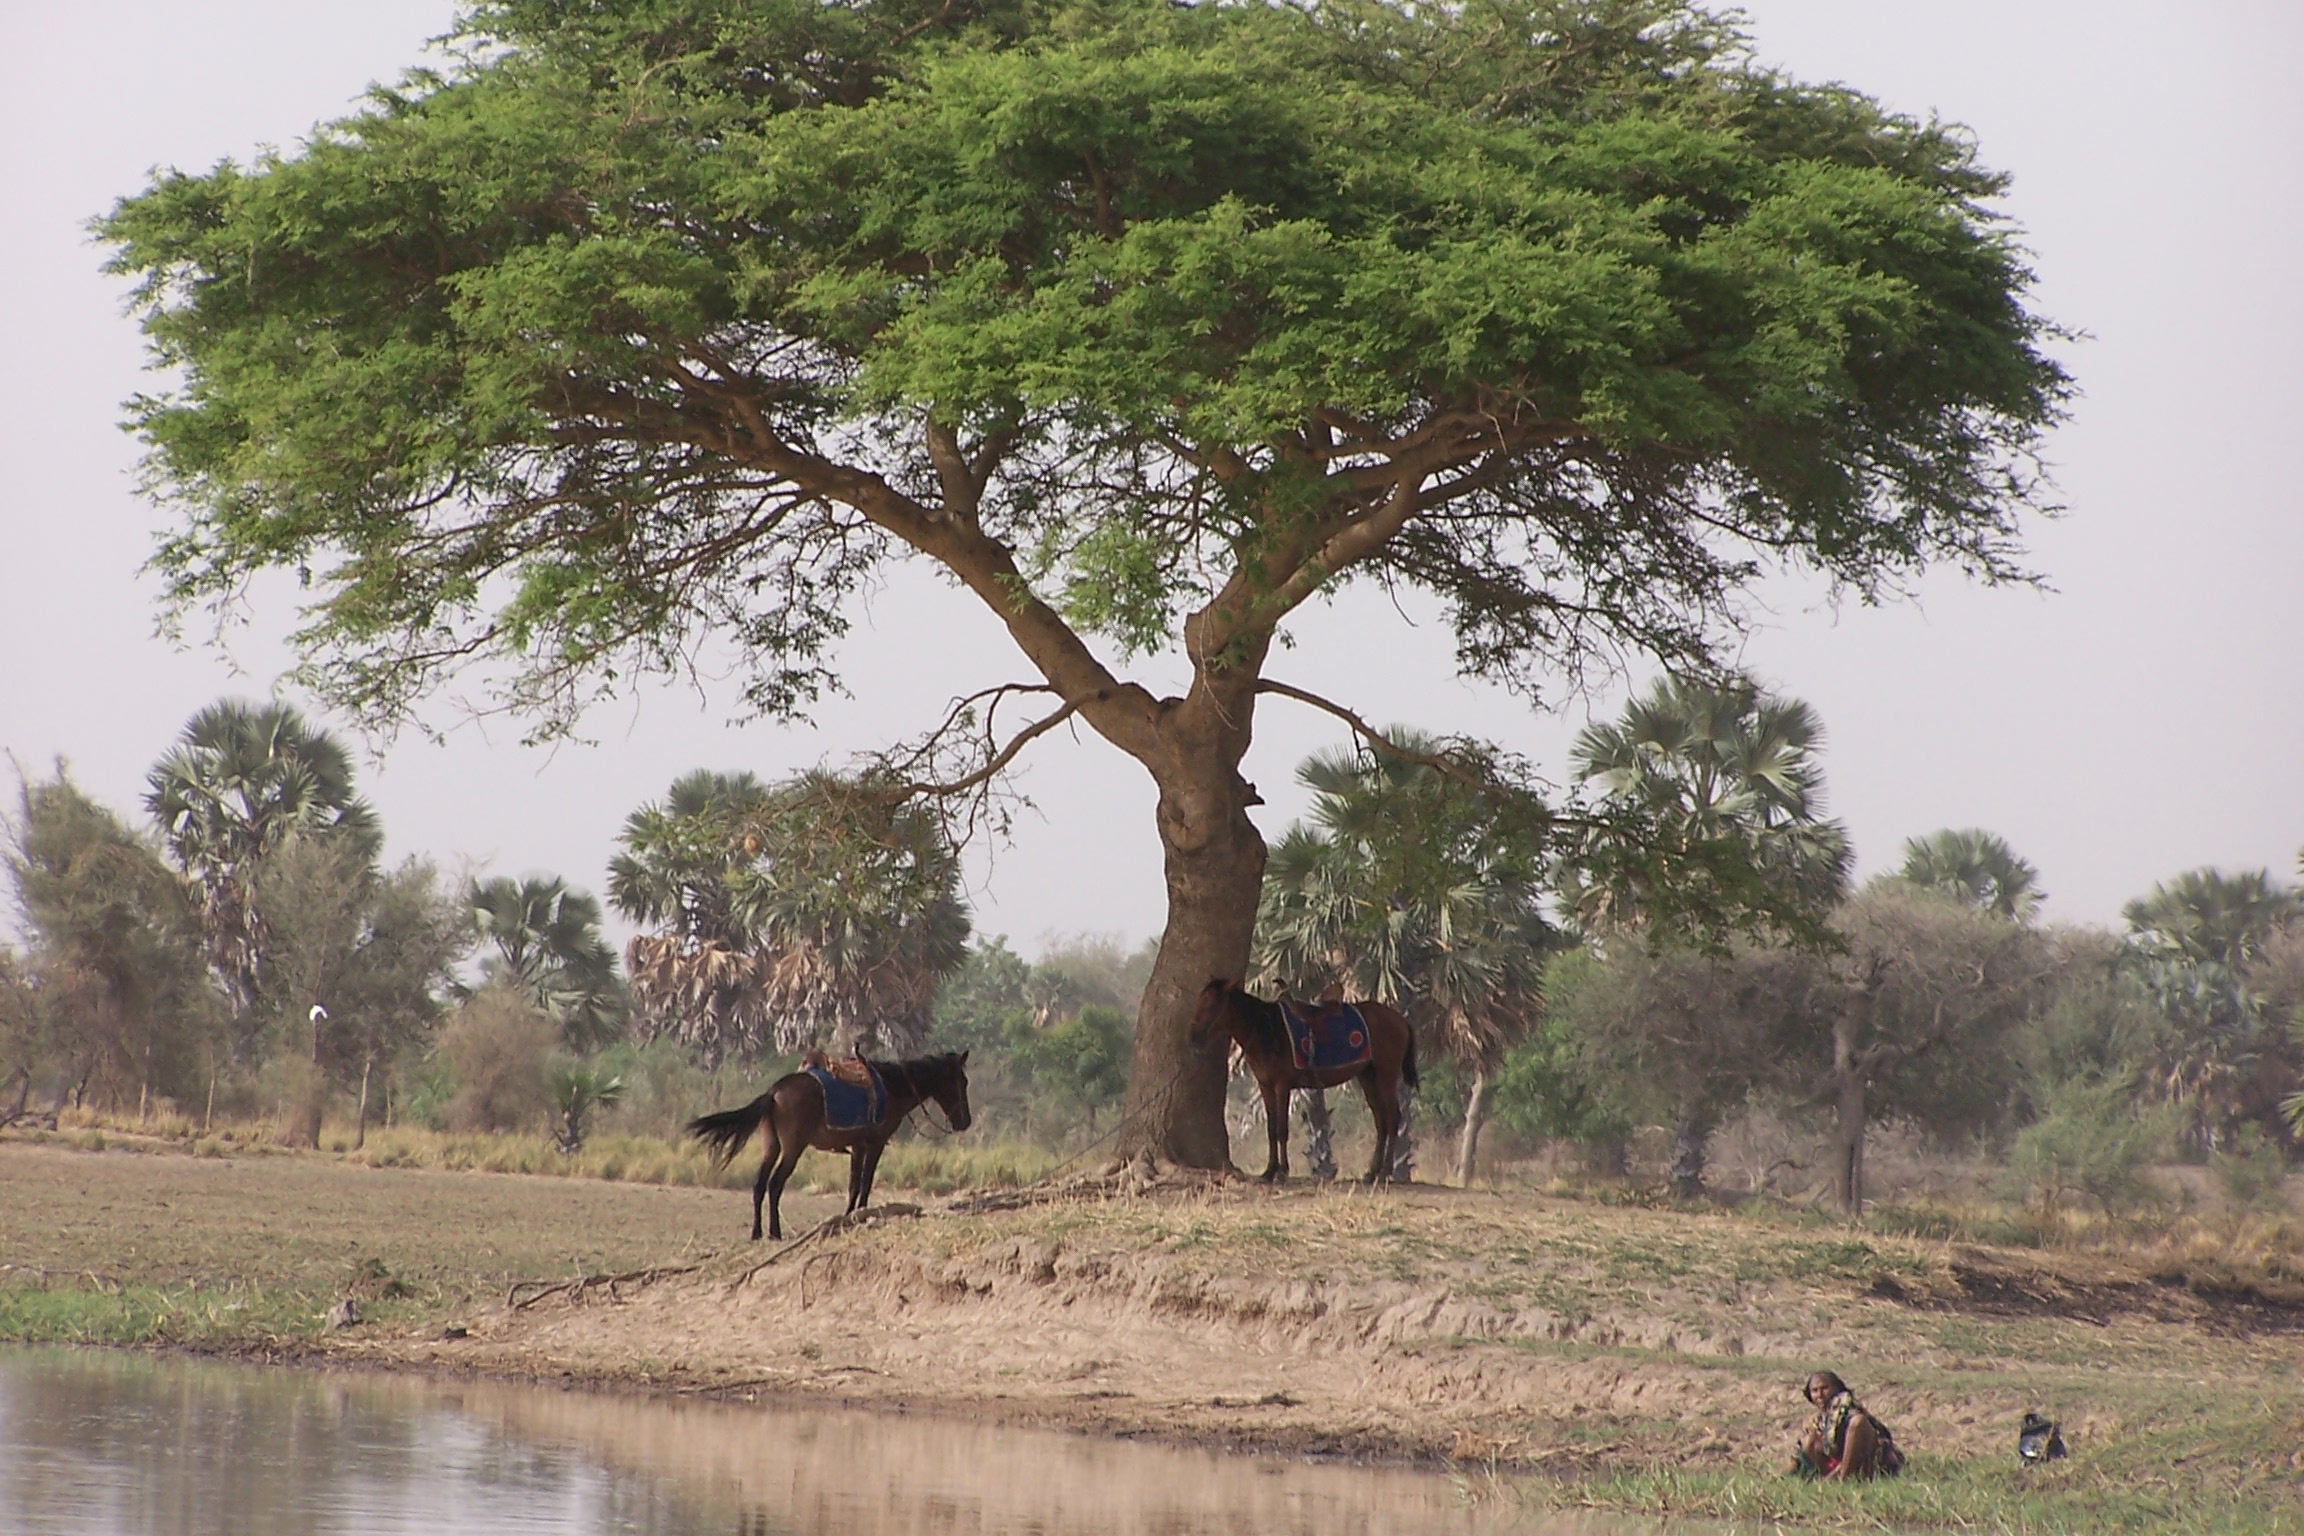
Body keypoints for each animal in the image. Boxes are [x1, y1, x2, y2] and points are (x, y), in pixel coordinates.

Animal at [686, 1051, 972, 1240]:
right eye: (962, 1082)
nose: (965, 1122)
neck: (891, 1087)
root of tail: (774, 1092)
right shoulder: (874, 1144)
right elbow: (865, 1182)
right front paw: (860, 1215)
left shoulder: (858, 1146)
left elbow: (854, 1184)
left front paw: (850, 1216)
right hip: (793, 1148)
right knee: (775, 1184)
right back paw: (775, 1232)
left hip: (772, 1146)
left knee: (759, 1183)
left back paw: (757, 1232)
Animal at [1190, 979, 1418, 1184]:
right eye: (1200, 1001)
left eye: (1211, 1004)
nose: (1194, 1036)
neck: (1268, 1030)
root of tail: (1400, 1020)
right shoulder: (1266, 1086)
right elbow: (1271, 1128)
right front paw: (1269, 1171)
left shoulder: (1282, 1086)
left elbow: (1282, 1129)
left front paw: (1282, 1172)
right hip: (1368, 1076)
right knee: (1381, 1120)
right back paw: (1372, 1173)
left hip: (1386, 1074)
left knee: (1392, 1118)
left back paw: (1384, 1172)